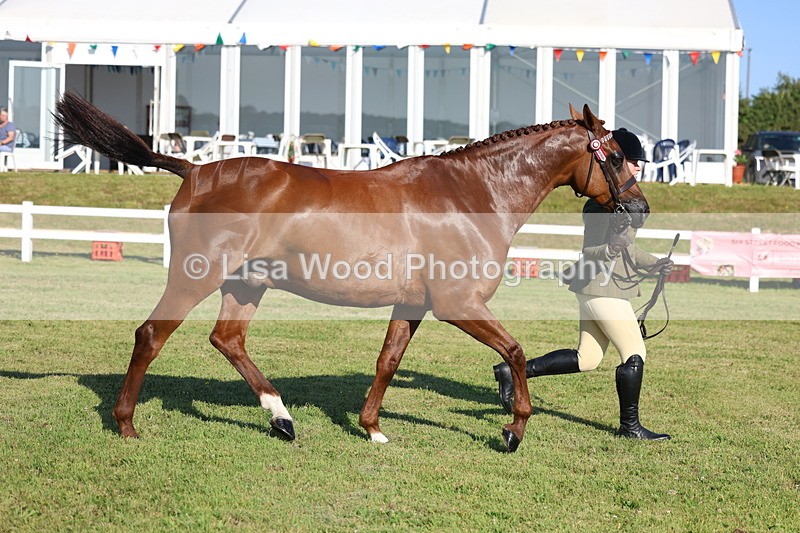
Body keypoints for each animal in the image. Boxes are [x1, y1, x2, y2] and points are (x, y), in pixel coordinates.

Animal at [54, 92, 648, 452]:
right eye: (617, 158)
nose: (639, 208)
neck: (471, 194)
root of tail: (195, 169)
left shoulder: (414, 305)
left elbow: (388, 361)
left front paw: (372, 429)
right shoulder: (459, 305)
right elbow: (516, 352)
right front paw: (514, 429)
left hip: (246, 283)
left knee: (228, 339)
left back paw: (282, 418)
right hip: (195, 277)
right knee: (151, 334)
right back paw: (126, 424)